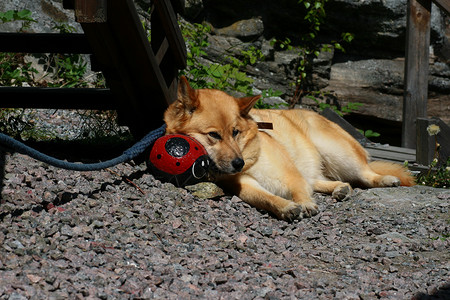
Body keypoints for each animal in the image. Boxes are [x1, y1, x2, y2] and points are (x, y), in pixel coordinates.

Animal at [163, 77, 416, 221]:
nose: (238, 164)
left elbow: (299, 189)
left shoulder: (290, 174)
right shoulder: (246, 185)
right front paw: (285, 208)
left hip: (337, 153)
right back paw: (340, 189)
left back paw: (384, 179)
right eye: (214, 135)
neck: (249, 154)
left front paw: (304, 203)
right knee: (321, 180)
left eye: (235, 132)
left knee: (364, 174)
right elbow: (266, 198)